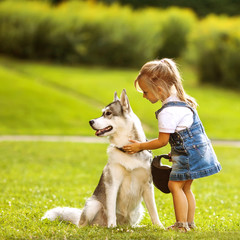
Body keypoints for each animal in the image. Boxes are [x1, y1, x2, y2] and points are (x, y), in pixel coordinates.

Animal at [42, 89, 163, 228]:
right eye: (102, 113)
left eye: (108, 113)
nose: (90, 121)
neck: (127, 151)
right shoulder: (112, 184)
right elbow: (111, 209)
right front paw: (112, 227)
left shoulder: (148, 186)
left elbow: (154, 211)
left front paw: (159, 227)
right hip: (93, 205)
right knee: (83, 224)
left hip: (138, 210)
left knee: (130, 224)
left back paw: (134, 227)